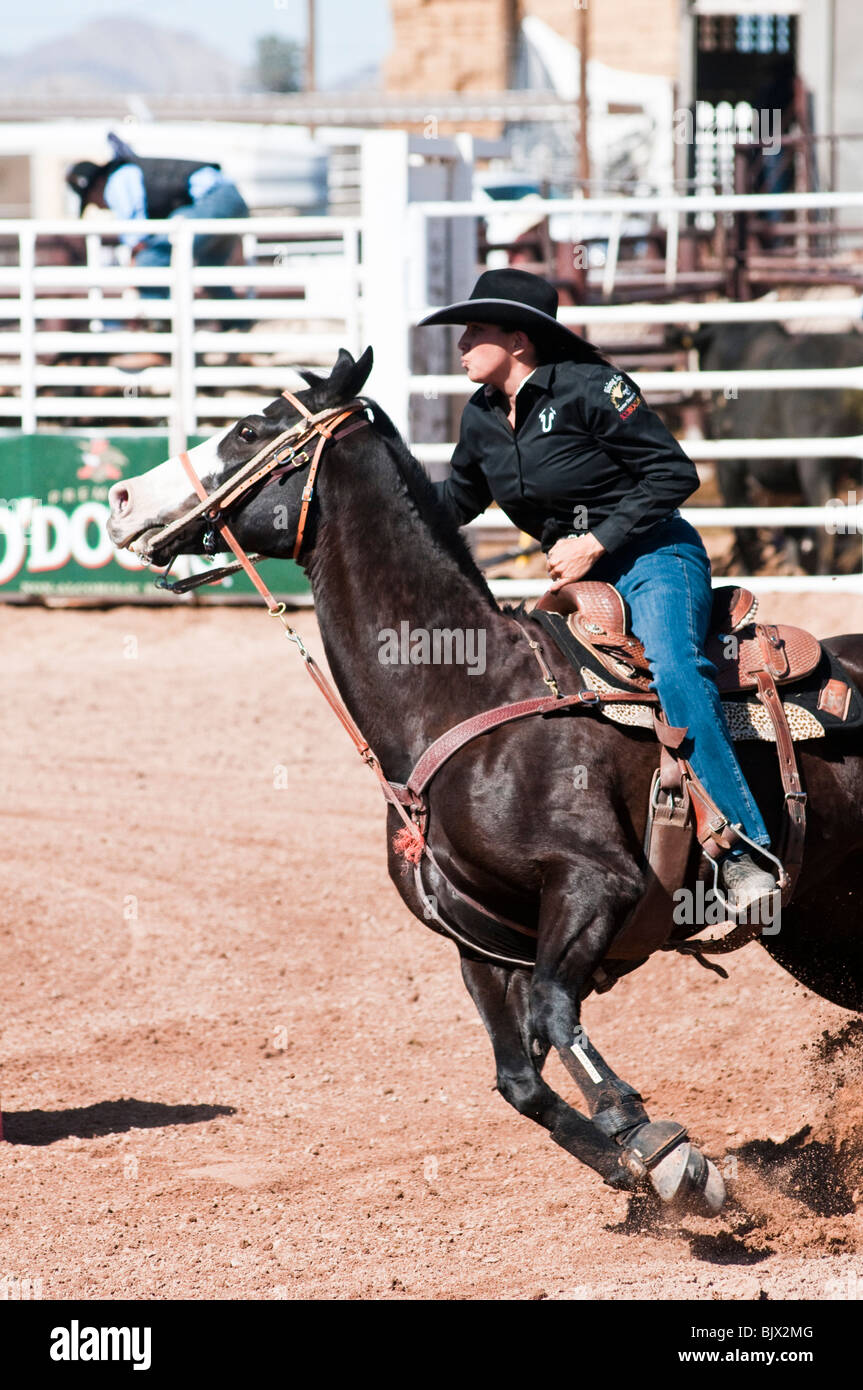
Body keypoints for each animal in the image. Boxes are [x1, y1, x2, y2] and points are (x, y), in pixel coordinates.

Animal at [106, 347, 861, 1217]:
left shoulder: (595, 884)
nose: (121, 498)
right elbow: (518, 1079)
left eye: (249, 430)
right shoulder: (481, 944)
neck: (462, 690)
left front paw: (666, 1153)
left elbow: (557, 1017)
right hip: (821, 933)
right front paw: (628, 1169)